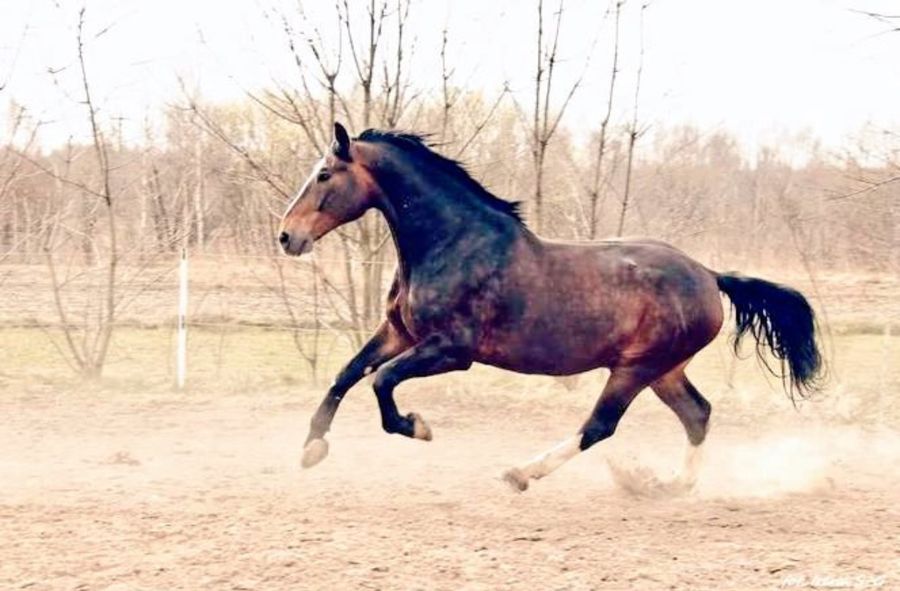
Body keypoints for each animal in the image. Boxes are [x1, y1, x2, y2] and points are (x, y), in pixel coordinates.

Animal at [280, 122, 824, 492]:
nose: (287, 236)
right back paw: (666, 486)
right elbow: (346, 375)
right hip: (664, 370)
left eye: (324, 174)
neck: (452, 244)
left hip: (635, 368)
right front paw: (310, 449)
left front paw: (418, 427)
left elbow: (381, 381)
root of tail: (709, 276)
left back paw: (522, 473)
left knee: (601, 426)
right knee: (698, 414)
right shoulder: (399, 332)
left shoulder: (452, 350)